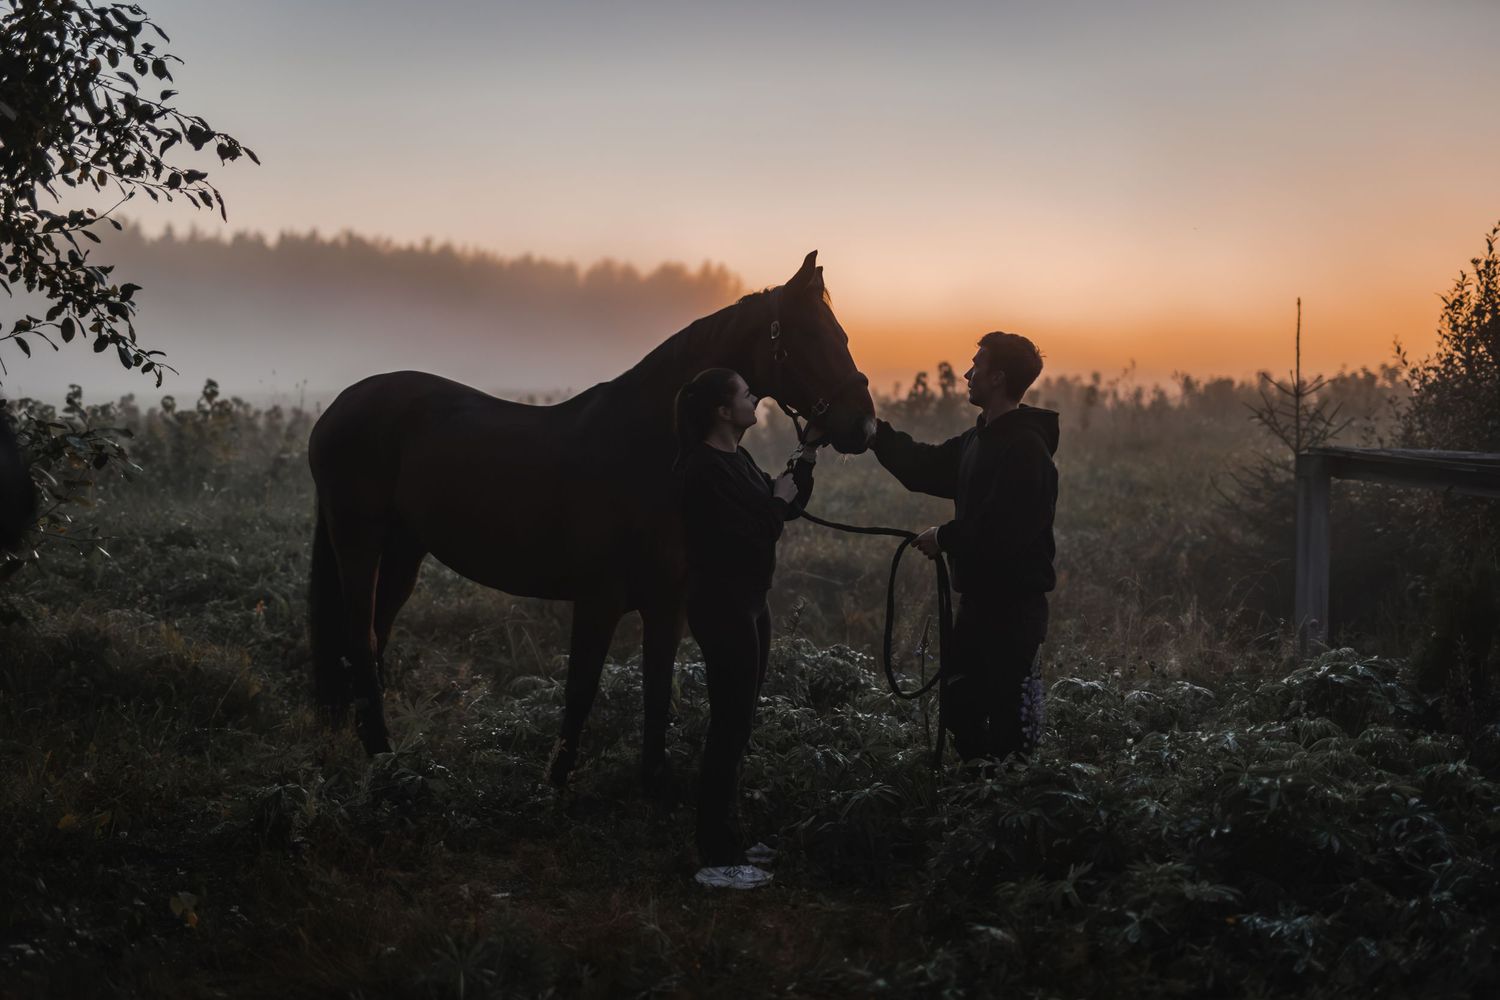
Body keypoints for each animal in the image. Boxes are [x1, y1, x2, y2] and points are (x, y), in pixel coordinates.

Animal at [307, 251, 876, 793]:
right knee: (360, 641)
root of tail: (339, 406)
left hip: (403, 550)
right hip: (358, 541)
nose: (865, 425)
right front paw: (556, 782)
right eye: (810, 336)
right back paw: (382, 760)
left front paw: (653, 781)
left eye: (844, 335)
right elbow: (581, 688)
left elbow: (657, 689)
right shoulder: (598, 598)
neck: (652, 451)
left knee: (374, 636)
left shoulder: (667, 603)